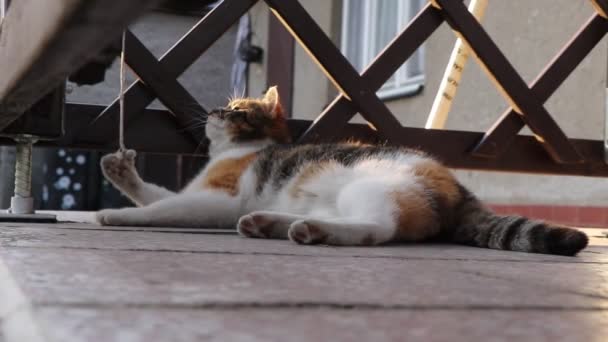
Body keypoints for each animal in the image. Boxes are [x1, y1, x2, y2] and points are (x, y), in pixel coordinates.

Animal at [96, 87, 588, 255]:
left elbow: (160, 209)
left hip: (370, 187)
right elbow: (157, 194)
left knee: (376, 228)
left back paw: (310, 232)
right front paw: (120, 171)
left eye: (237, 110)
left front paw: (117, 215)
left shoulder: (217, 198)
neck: (240, 150)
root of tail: (459, 188)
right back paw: (272, 223)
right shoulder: (197, 193)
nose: (215, 110)